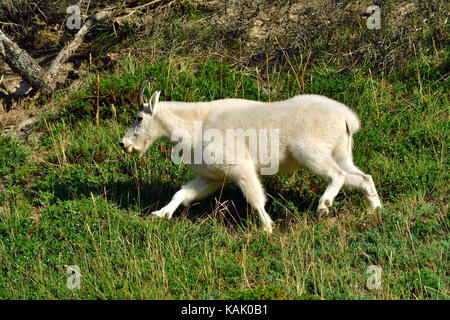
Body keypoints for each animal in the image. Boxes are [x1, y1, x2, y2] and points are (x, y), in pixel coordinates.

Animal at [118, 81, 380, 234]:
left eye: (139, 118)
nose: (124, 144)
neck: (196, 124)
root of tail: (347, 118)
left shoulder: (239, 167)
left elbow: (255, 198)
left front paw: (267, 228)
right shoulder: (212, 177)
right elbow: (182, 194)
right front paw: (160, 214)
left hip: (309, 151)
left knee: (337, 175)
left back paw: (324, 205)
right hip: (341, 152)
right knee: (362, 177)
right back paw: (375, 211)